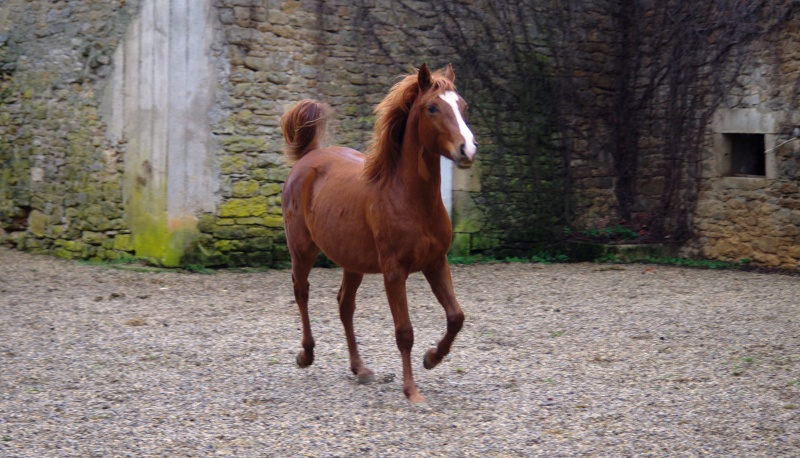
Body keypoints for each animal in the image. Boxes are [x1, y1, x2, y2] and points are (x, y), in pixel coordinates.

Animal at [282, 63, 478, 404]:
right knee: (301, 292)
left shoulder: (436, 262)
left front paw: (431, 359)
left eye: (462, 106)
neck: (409, 197)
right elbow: (404, 331)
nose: (467, 150)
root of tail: (308, 158)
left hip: (353, 262)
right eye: (432, 108)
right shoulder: (394, 271)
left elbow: (456, 317)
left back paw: (360, 369)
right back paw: (306, 355)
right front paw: (412, 391)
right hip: (303, 250)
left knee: (344, 305)